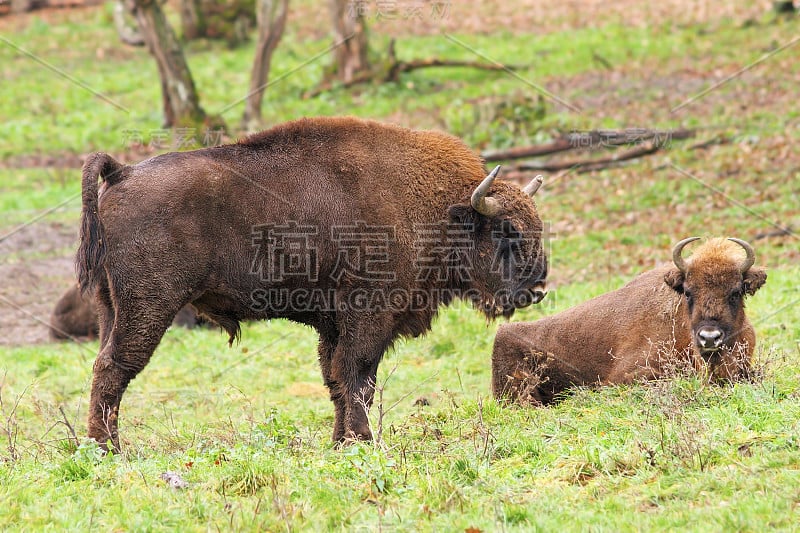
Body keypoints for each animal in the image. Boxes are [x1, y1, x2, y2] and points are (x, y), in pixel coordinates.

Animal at [76, 116, 552, 448]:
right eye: (507, 230)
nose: (537, 288)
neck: (439, 209)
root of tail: (121, 173)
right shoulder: (368, 315)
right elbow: (358, 376)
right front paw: (361, 440)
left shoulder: (334, 323)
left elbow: (337, 380)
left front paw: (340, 441)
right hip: (148, 306)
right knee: (115, 367)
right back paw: (110, 449)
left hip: (110, 306)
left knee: (102, 363)